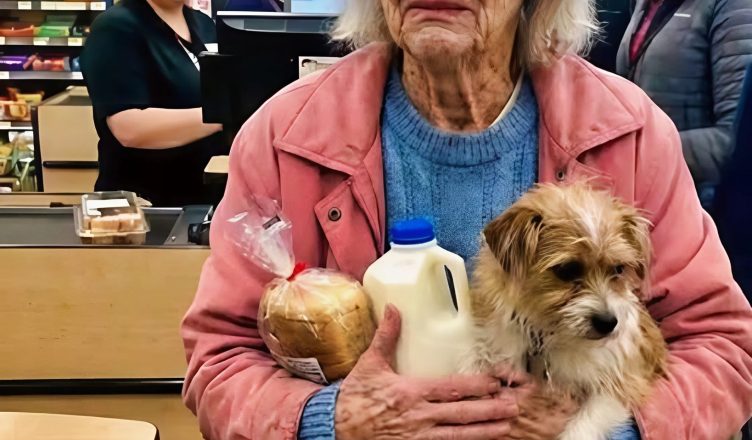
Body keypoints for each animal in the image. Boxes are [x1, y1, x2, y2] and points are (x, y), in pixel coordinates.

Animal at [462, 183, 667, 440]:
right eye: (567, 270)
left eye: (618, 269)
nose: (608, 322)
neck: (549, 336)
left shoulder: (620, 385)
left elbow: (582, 426)